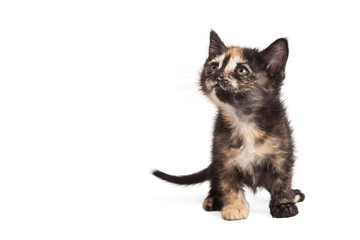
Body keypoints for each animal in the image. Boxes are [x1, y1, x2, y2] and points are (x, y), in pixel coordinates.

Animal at [152, 31, 304, 220]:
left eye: (241, 70)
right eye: (213, 66)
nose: (216, 75)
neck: (243, 120)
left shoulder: (282, 152)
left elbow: (282, 179)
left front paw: (284, 204)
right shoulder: (223, 157)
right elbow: (228, 183)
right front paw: (234, 207)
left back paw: (293, 194)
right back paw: (213, 198)